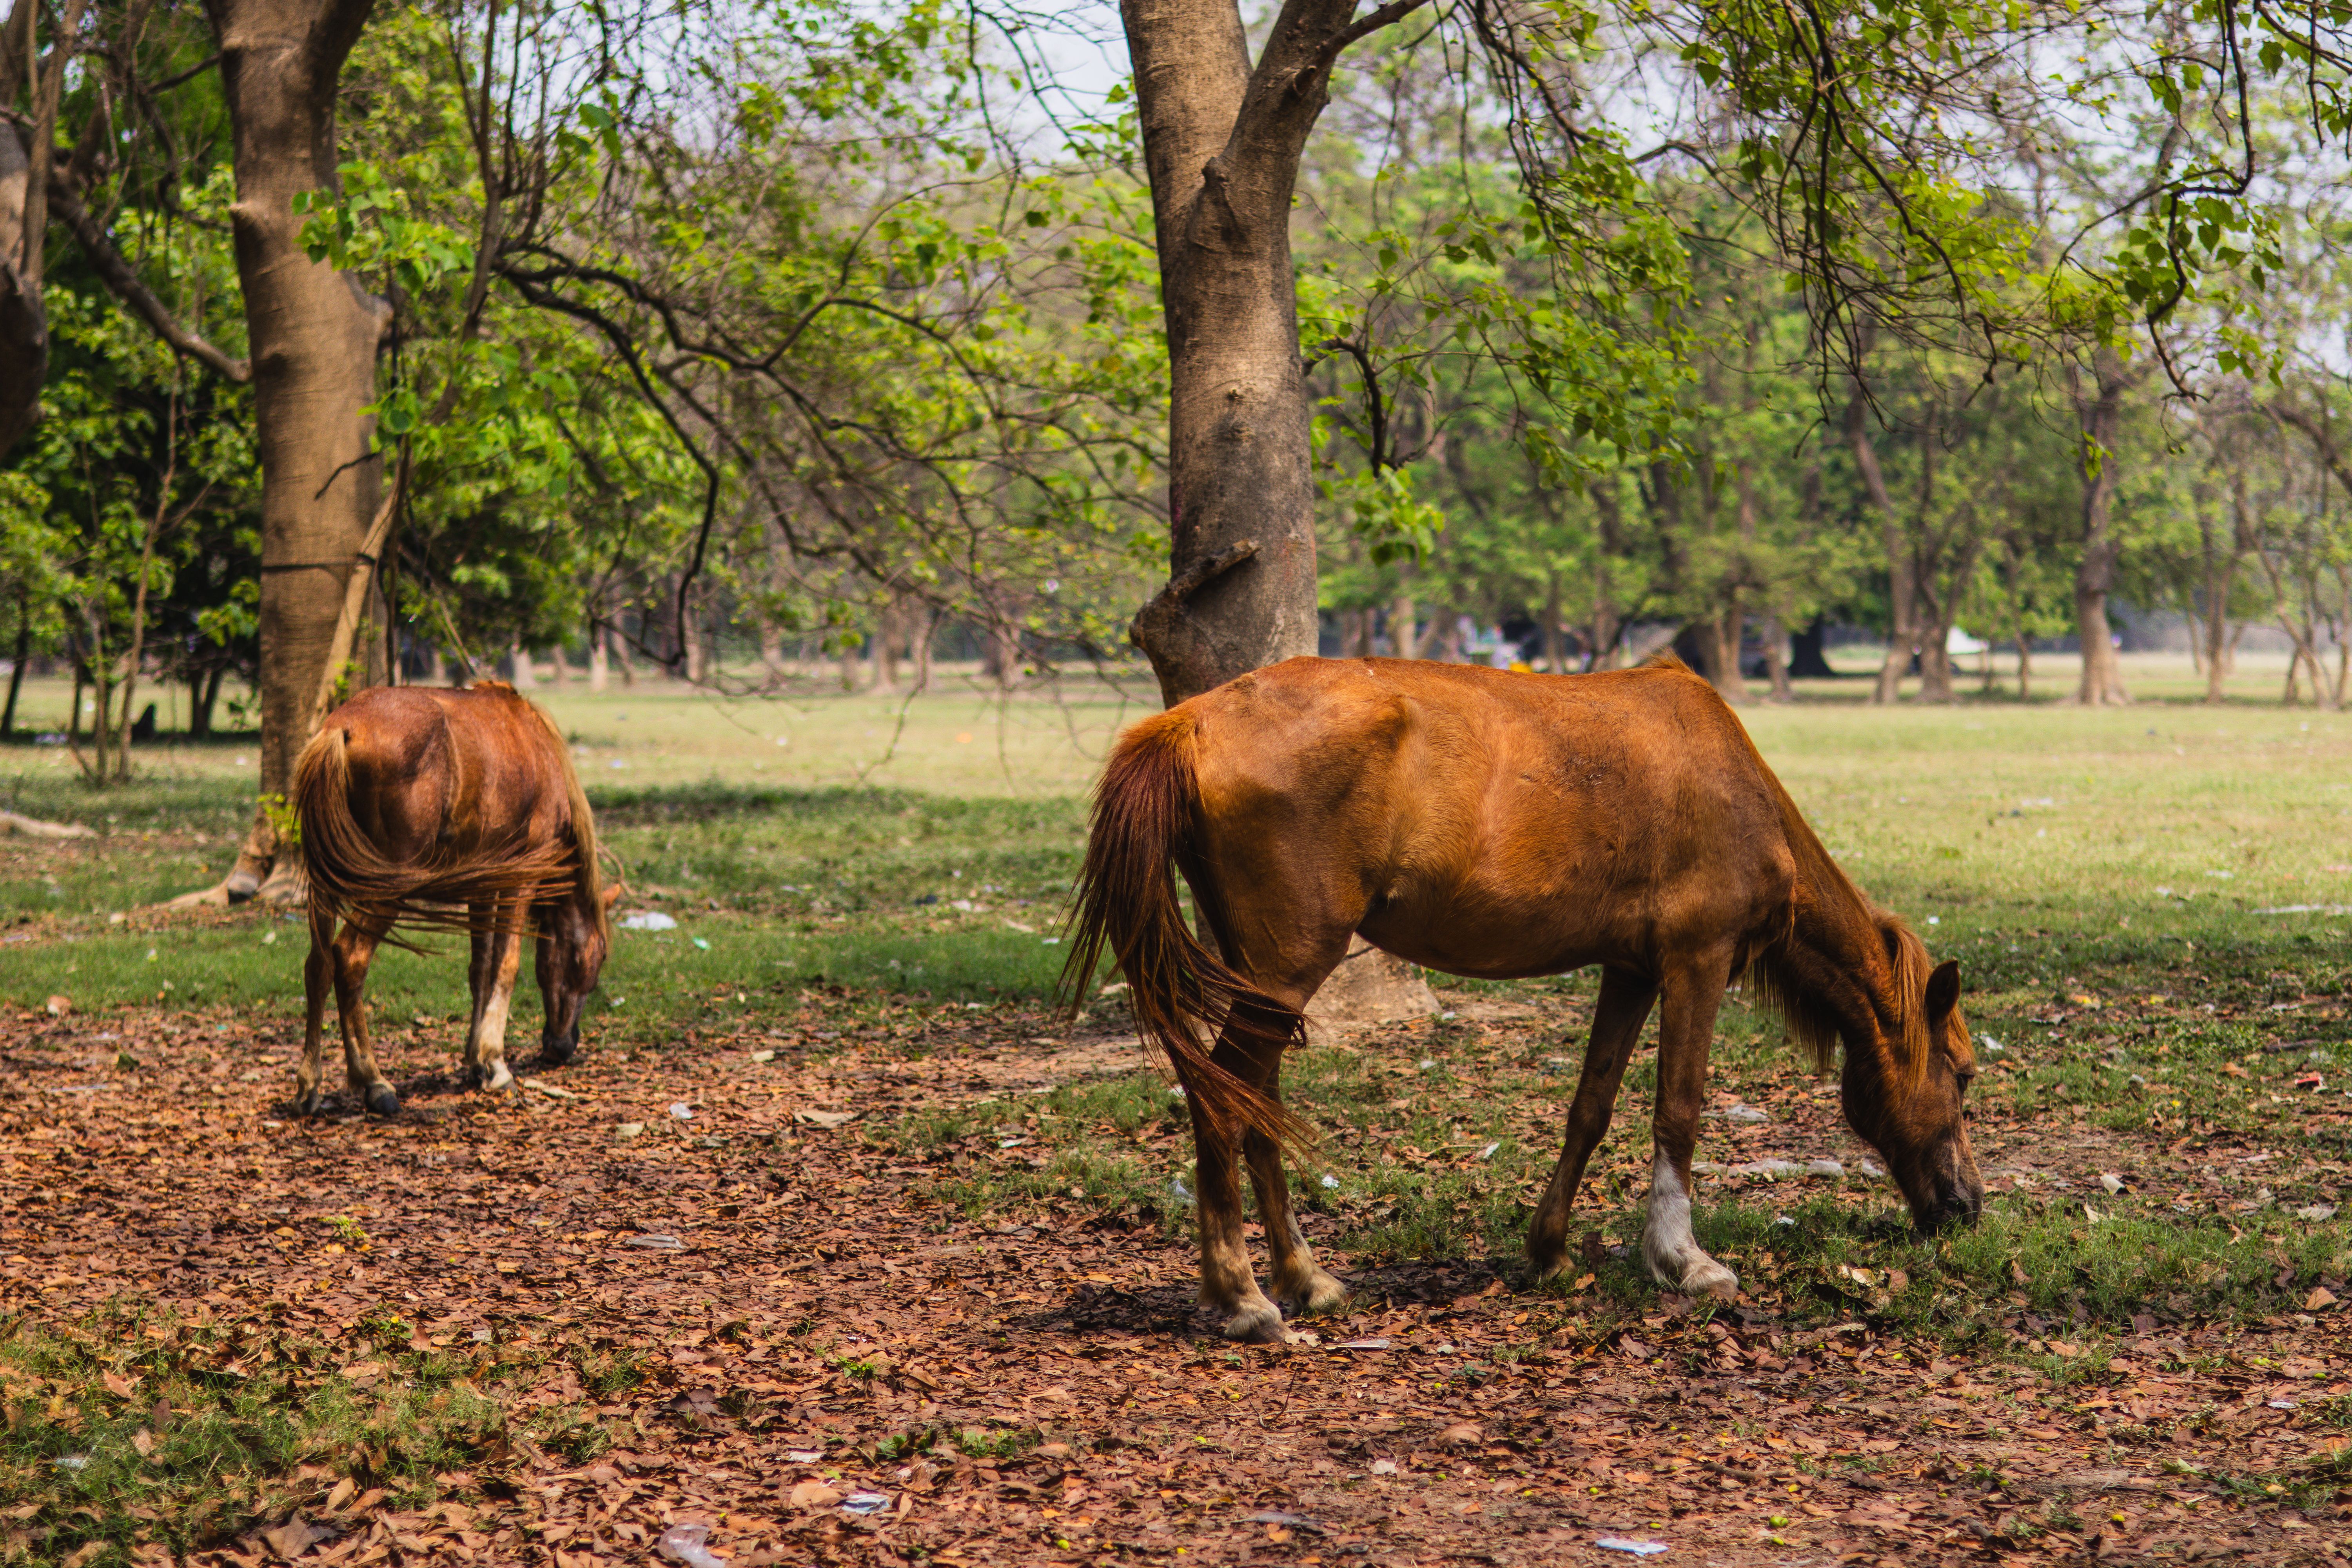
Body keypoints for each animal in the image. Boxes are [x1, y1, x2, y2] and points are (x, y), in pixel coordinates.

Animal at [290, 681, 619, 1116]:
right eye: (594, 958)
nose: (563, 1046)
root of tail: (340, 729)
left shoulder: (482, 887)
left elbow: (481, 969)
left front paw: (475, 1061)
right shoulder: (521, 880)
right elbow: (507, 967)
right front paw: (496, 1062)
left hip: (325, 886)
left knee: (319, 965)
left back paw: (310, 1085)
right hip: (386, 887)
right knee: (349, 961)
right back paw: (374, 1081)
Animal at [1062, 654, 1982, 1343]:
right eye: (1966, 1076)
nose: (1968, 1206)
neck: (1731, 780)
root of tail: (1192, 720)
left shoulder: (1631, 969)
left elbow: (1593, 1106)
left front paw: (1549, 1249)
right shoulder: (1698, 960)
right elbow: (1678, 1110)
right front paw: (1684, 1260)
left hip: (1264, 977)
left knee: (1253, 1103)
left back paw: (1304, 1278)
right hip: (1287, 967)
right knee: (1225, 1103)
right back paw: (1243, 1296)